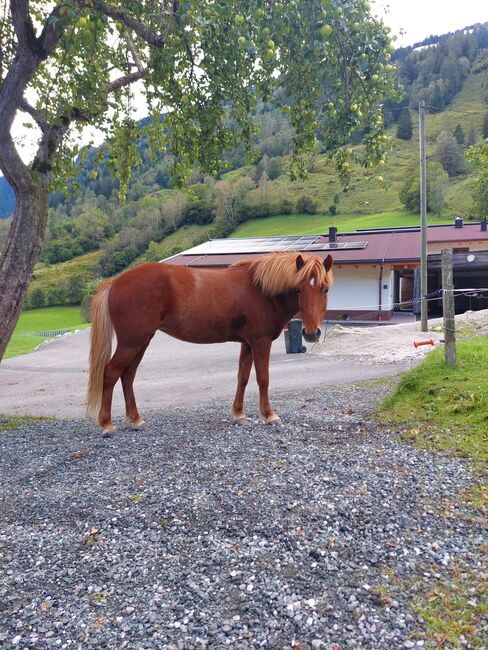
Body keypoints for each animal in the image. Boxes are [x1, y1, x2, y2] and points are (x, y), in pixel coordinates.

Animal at [86, 252, 332, 436]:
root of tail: (115, 282)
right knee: (111, 373)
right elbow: (263, 378)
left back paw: (136, 420)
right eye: (299, 289)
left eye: (325, 289)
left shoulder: (247, 344)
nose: (311, 333)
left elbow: (242, 377)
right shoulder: (261, 343)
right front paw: (269, 415)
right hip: (131, 342)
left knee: (127, 376)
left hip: (142, 341)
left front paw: (238, 414)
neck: (261, 290)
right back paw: (107, 424)